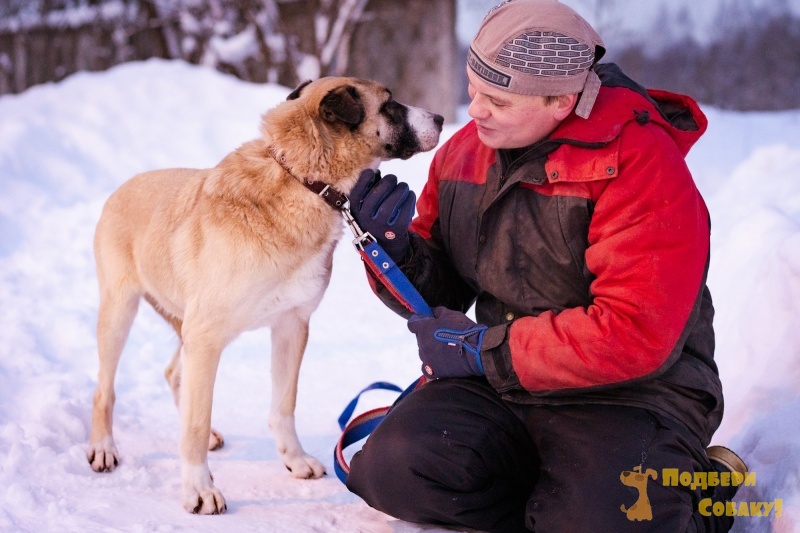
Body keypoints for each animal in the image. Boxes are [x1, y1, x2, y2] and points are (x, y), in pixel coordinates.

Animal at [86, 77, 443, 514]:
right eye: (390, 105)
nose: (441, 118)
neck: (303, 182)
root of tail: (123, 186)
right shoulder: (206, 337)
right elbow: (194, 422)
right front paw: (198, 488)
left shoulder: (290, 326)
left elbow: (283, 405)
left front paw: (294, 459)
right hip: (121, 312)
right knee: (105, 389)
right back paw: (103, 447)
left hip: (187, 323)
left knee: (174, 373)